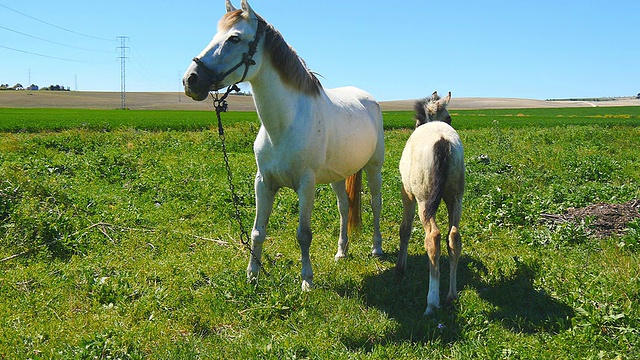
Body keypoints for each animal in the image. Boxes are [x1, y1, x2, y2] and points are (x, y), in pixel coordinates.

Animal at [185, 0, 384, 292]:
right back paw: (341, 252)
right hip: (337, 175)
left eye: (234, 38)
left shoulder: (306, 185)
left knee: (376, 203)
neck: (285, 125)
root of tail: (368, 99)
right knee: (344, 208)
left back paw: (377, 248)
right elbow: (257, 232)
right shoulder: (263, 183)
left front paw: (307, 281)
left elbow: (304, 234)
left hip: (373, 167)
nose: (191, 80)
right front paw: (252, 276)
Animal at [396, 90, 464, 316]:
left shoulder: (407, 194)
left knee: (433, 237)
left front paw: (400, 269)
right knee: (454, 237)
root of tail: (442, 141)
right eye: (449, 118)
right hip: (455, 199)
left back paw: (432, 302)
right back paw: (451, 295)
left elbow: (405, 230)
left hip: (424, 203)